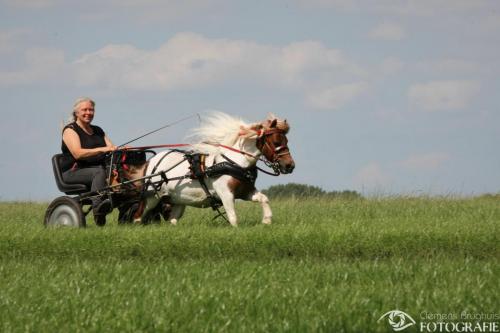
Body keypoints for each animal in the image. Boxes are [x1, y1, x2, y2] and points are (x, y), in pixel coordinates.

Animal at [138, 112, 292, 226]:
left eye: (287, 141)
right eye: (276, 142)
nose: (290, 165)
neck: (235, 163)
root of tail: (152, 161)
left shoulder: (245, 192)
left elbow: (263, 199)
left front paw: (266, 220)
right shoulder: (226, 194)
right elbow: (233, 218)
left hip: (178, 200)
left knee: (173, 220)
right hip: (152, 197)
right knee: (139, 216)